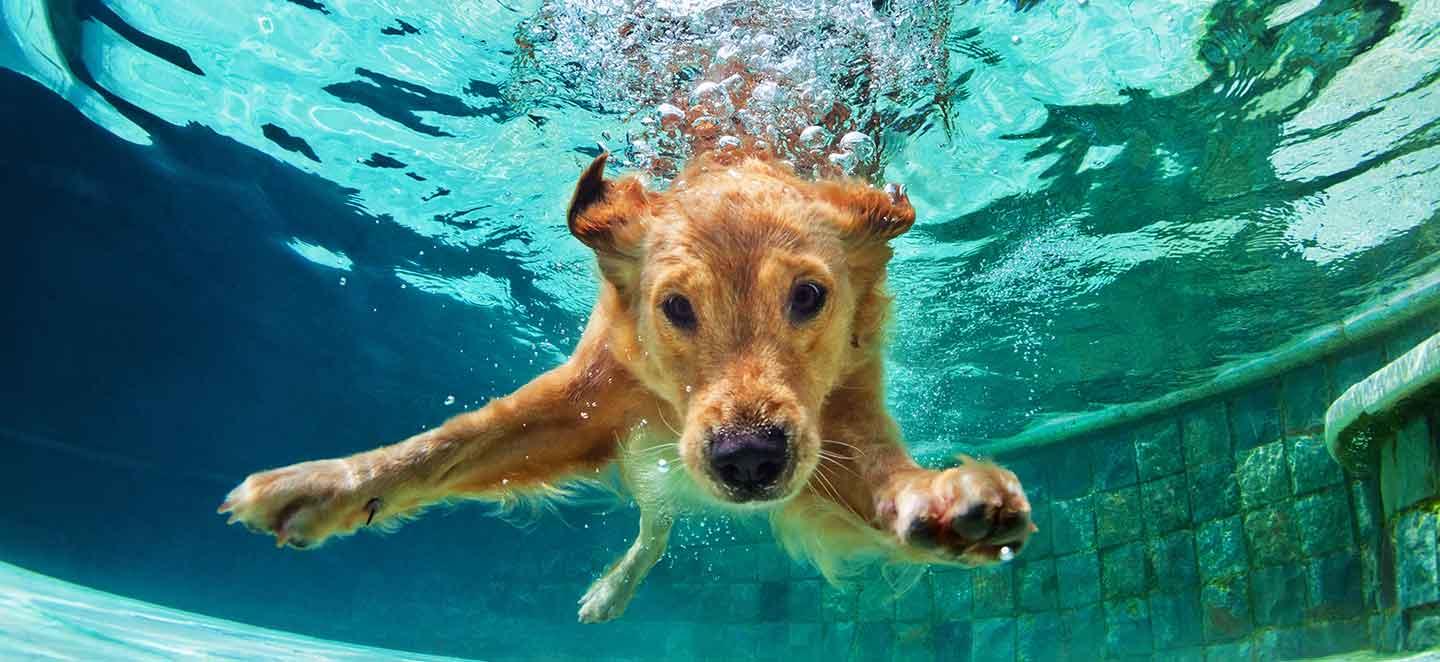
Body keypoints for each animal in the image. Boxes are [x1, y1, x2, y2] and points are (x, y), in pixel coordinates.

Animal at [216, 147, 1036, 624]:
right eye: (675, 307)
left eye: (809, 296)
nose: (748, 459)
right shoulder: (586, 399)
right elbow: (450, 442)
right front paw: (325, 486)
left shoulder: (838, 421)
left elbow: (883, 477)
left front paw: (944, 502)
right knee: (654, 525)